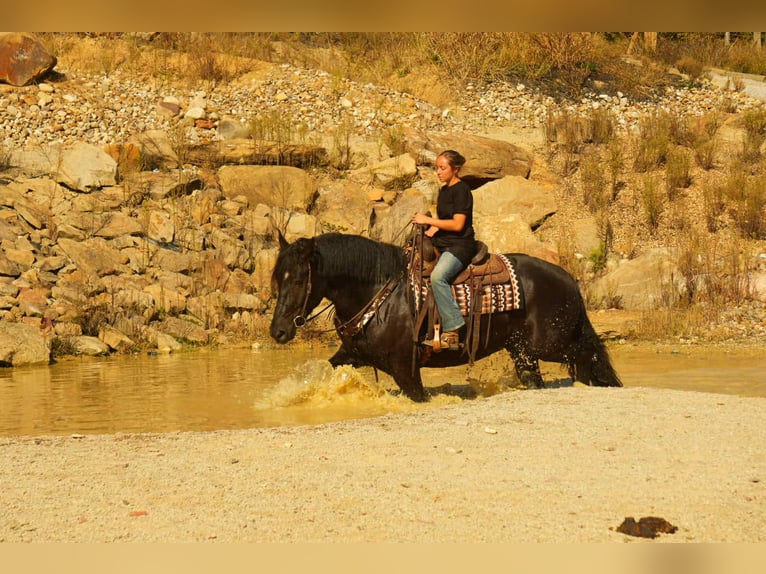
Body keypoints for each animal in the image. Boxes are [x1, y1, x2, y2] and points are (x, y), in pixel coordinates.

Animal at [269, 231, 622, 402]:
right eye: (278, 279)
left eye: (298, 280)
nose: (278, 331)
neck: (378, 291)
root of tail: (569, 280)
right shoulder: (352, 355)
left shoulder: (406, 369)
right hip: (523, 352)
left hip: (550, 344)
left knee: (589, 355)